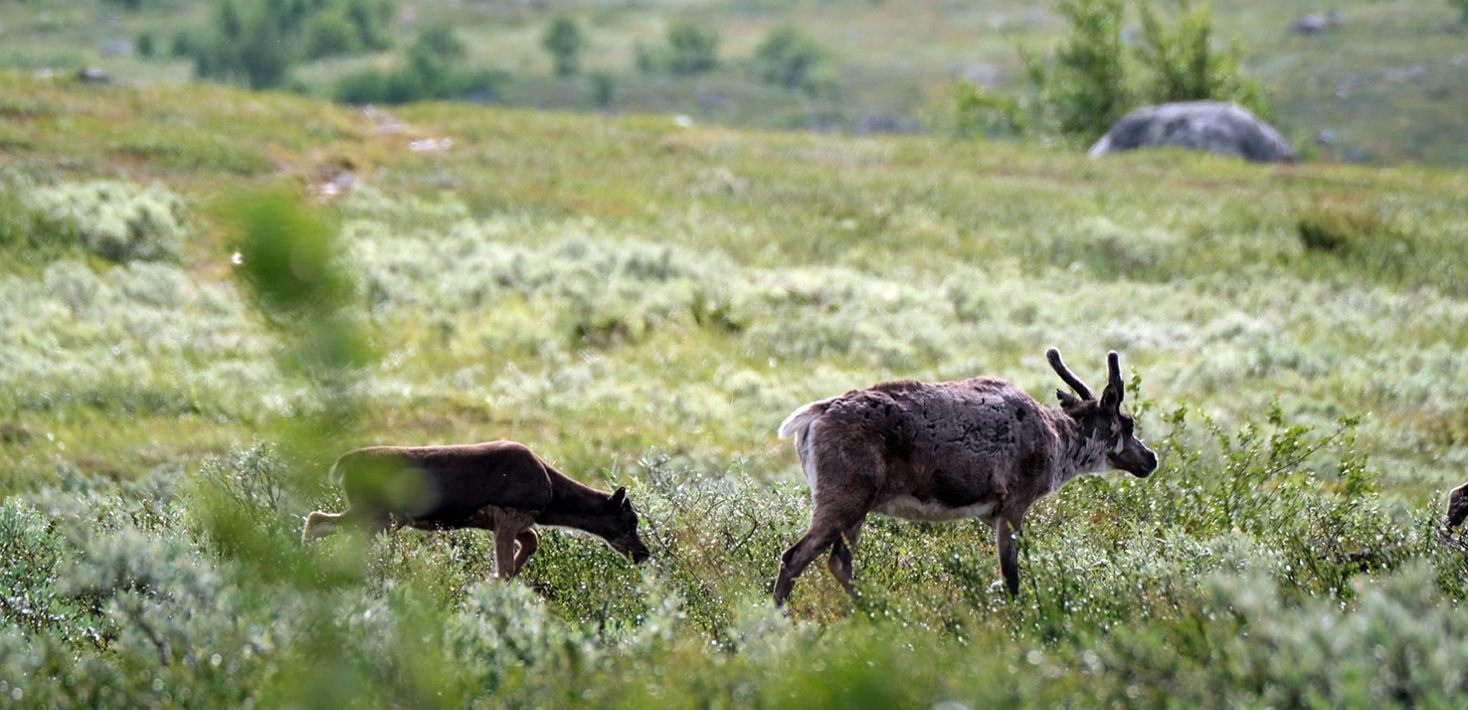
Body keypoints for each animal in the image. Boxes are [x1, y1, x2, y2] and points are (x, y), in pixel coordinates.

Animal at [302, 437, 648, 577]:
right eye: (630, 520)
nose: (644, 553)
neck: (551, 495)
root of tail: (345, 464)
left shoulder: (515, 522)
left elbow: (531, 542)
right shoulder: (508, 514)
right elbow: (506, 564)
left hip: (376, 515)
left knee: (319, 520)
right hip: (378, 514)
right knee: (325, 524)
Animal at [775, 349, 1162, 604]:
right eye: (1128, 424)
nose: (1151, 459)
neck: (1058, 439)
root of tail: (814, 415)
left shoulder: (988, 513)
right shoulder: (1015, 502)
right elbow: (1011, 578)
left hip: (859, 506)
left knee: (839, 562)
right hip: (844, 496)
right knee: (795, 557)